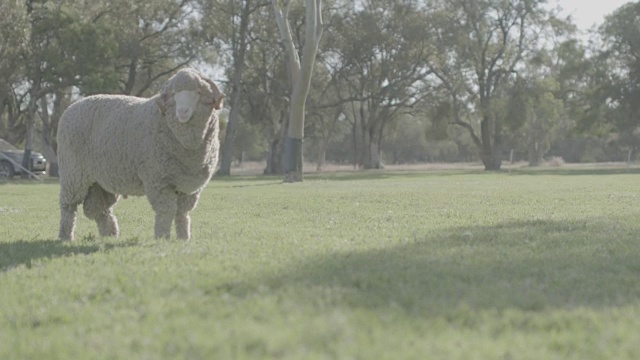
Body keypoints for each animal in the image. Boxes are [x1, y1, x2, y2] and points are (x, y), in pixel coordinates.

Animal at [56, 67, 225, 242]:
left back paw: (110, 235)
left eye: (198, 92)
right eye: (174, 94)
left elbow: (182, 213)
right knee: (68, 206)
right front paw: (162, 238)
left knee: (98, 208)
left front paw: (183, 238)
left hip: (99, 180)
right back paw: (66, 236)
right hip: (73, 174)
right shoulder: (158, 181)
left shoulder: (188, 186)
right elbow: (166, 211)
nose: (183, 112)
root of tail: (71, 108)